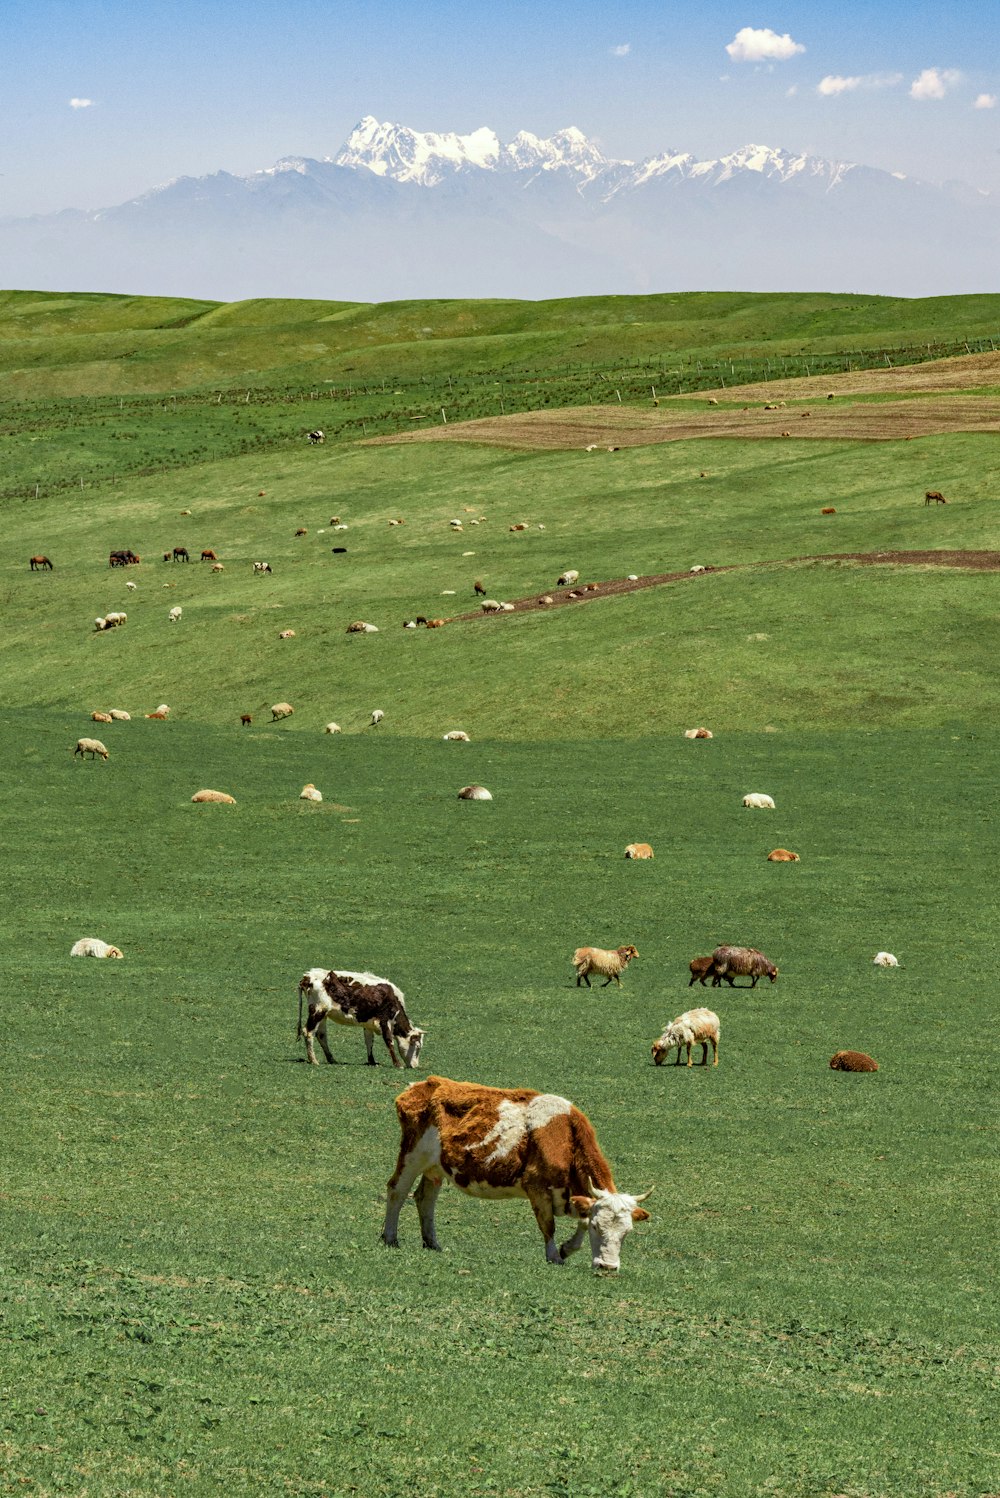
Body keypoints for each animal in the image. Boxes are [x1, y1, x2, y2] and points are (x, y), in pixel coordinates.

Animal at [294, 964, 425, 1072]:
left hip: (323, 1014)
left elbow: (369, 1041)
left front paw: (372, 1061)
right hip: (318, 1011)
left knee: (321, 1035)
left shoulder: (369, 1024)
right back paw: (313, 1060)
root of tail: (308, 976)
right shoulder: (384, 1020)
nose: (415, 1066)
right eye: (418, 1047)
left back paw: (331, 1059)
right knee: (308, 1031)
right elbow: (389, 1041)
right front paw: (397, 1064)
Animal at [378, 1072, 652, 1270]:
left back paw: (432, 1243)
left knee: (424, 1199)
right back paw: (390, 1238)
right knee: (397, 1191)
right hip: (412, 1155)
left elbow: (580, 1222)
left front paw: (567, 1248)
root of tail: (421, 1085)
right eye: (598, 1228)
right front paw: (554, 1255)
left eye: (627, 1232)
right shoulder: (537, 1188)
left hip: (435, 1168)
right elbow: (549, 1226)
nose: (608, 1267)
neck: (566, 1137)